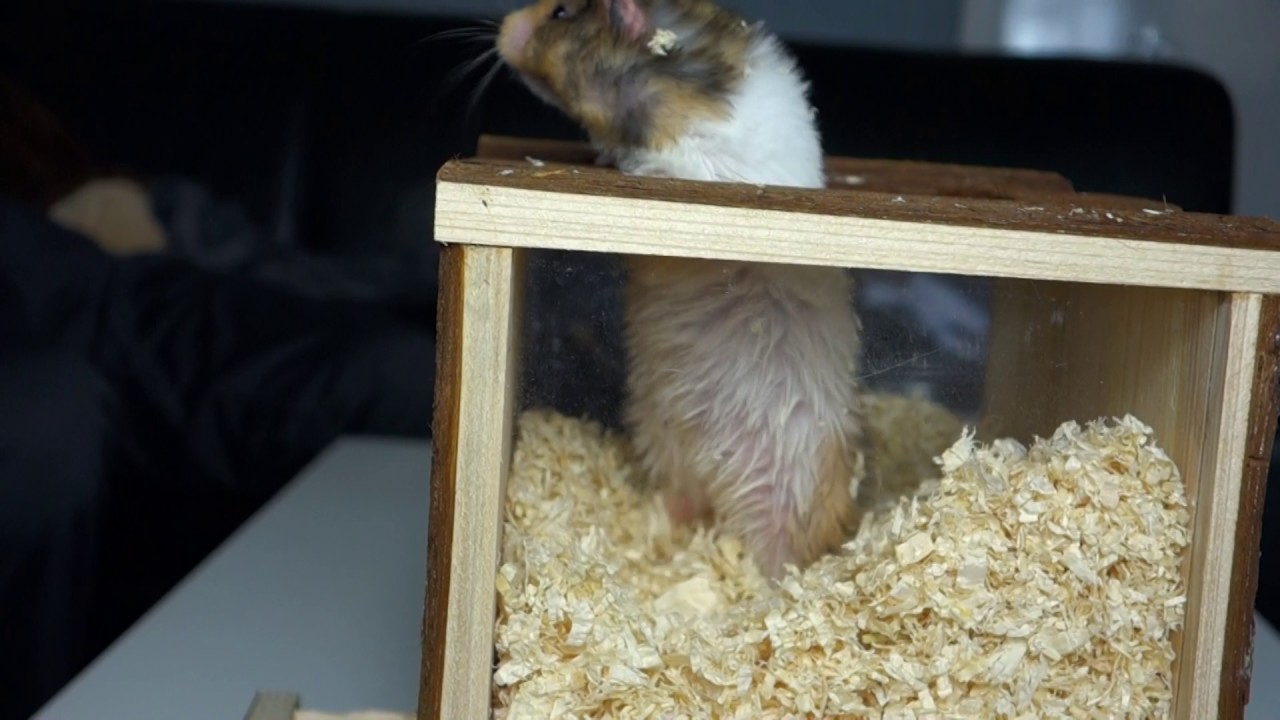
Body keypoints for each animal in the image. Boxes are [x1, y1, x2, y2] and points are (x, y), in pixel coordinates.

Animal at [496, 0, 867, 579]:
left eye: (560, 13)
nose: (501, 29)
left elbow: (674, 163)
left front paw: (634, 165)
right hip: (667, 441)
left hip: (790, 489)